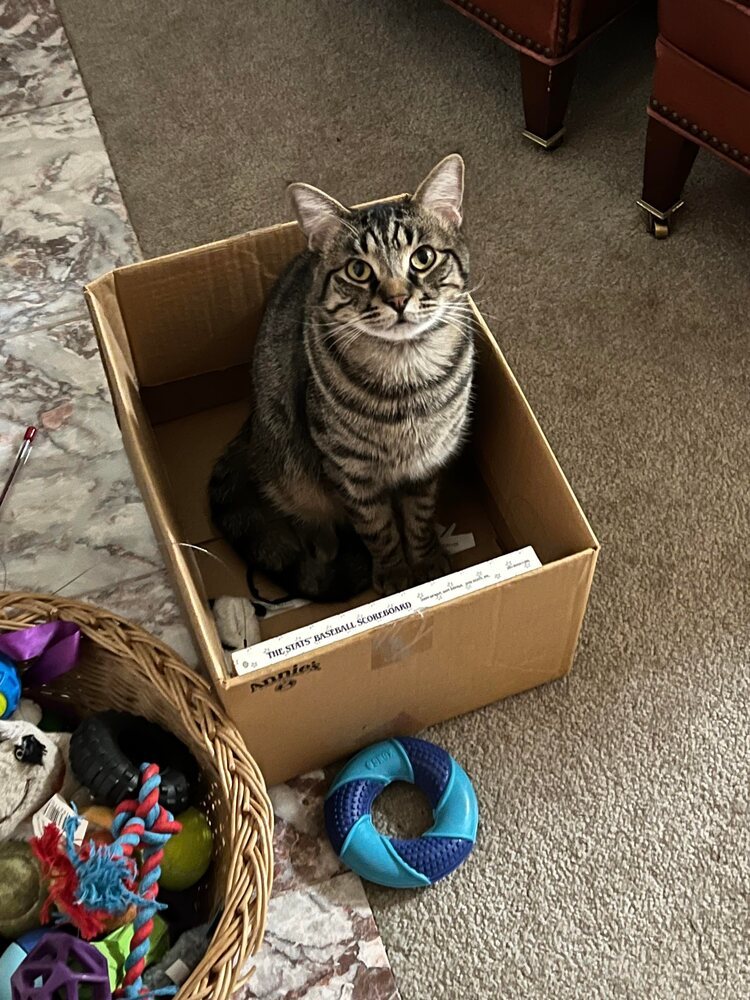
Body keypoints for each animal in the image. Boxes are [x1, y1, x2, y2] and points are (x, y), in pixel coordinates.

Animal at [209, 156, 472, 640]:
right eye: (359, 270)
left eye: (423, 257)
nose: (398, 298)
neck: (407, 376)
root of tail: (248, 428)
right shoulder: (349, 470)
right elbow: (378, 529)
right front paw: (394, 576)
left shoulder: (429, 461)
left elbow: (420, 517)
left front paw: (428, 562)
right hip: (295, 473)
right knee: (316, 529)